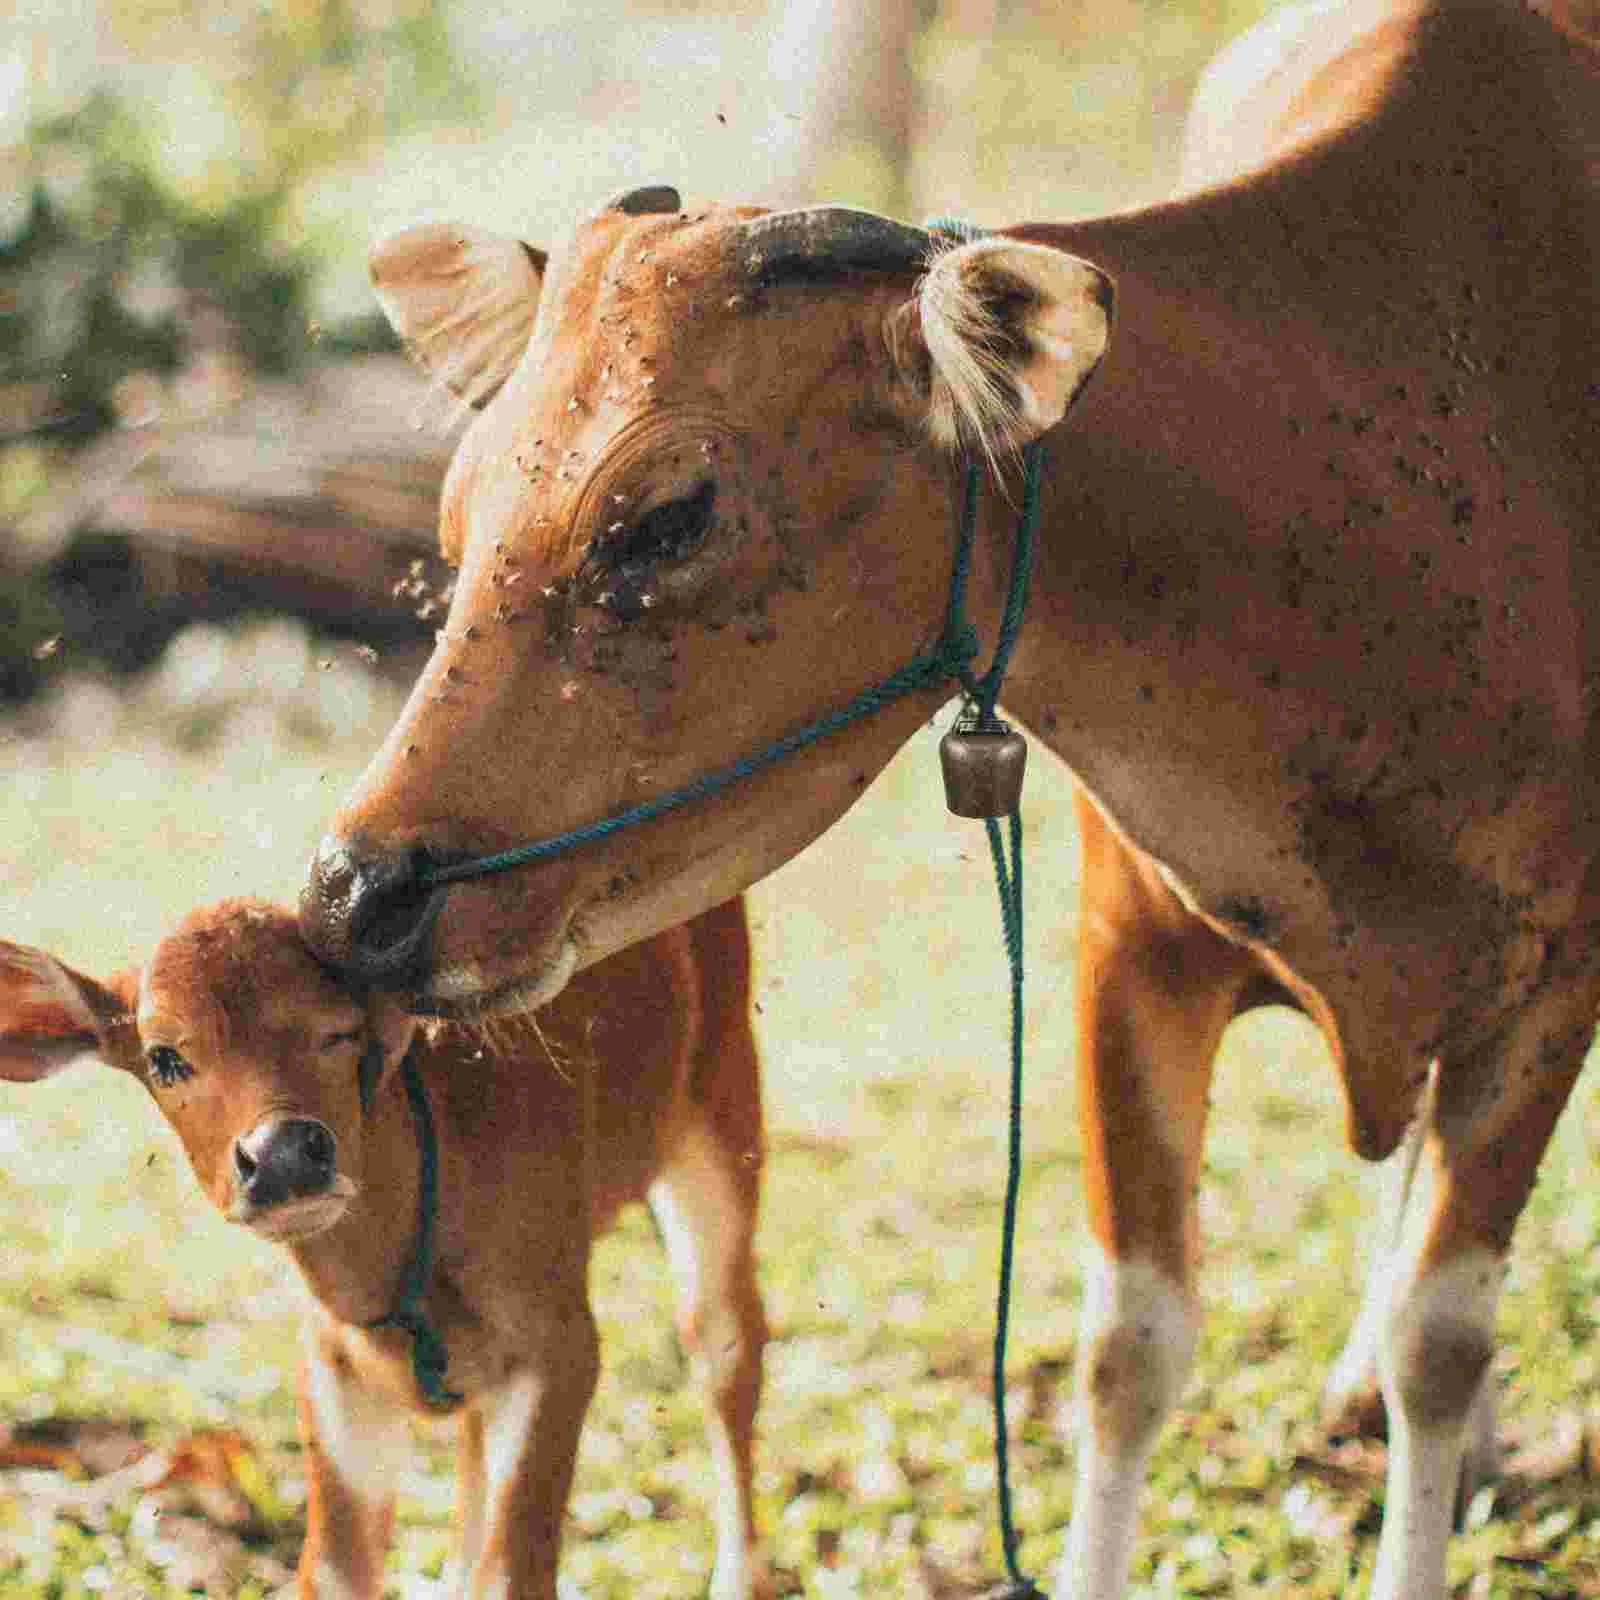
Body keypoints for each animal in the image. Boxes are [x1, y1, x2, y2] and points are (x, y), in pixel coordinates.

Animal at [0, 902, 768, 1600]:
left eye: (340, 1030)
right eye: (164, 1057)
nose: (282, 1155)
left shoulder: (559, 1344)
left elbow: (514, 1572)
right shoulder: (333, 1366)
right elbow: (336, 1572)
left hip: (723, 1106)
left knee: (724, 1344)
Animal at [302, 6, 1600, 1593]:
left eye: (665, 516)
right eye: (459, 511)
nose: (361, 890)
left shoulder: (1552, 989)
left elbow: (1442, 1340)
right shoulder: (1129, 952)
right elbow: (1130, 1347)